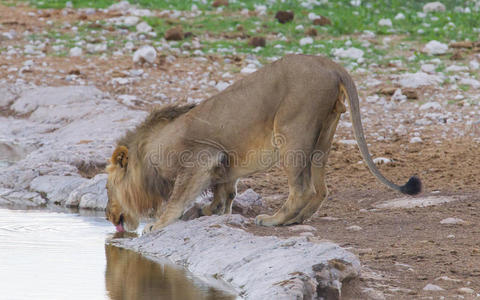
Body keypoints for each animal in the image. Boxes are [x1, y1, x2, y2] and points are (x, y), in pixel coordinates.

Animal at [105, 54, 420, 233]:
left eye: (107, 189)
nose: (107, 215)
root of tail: (332, 66)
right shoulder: (221, 163)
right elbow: (224, 194)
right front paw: (208, 212)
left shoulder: (200, 158)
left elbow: (178, 198)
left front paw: (157, 225)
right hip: (323, 137)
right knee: (320, 190)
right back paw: (295, 220)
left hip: (291, 132)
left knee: (303, 189)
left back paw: (274, 220)